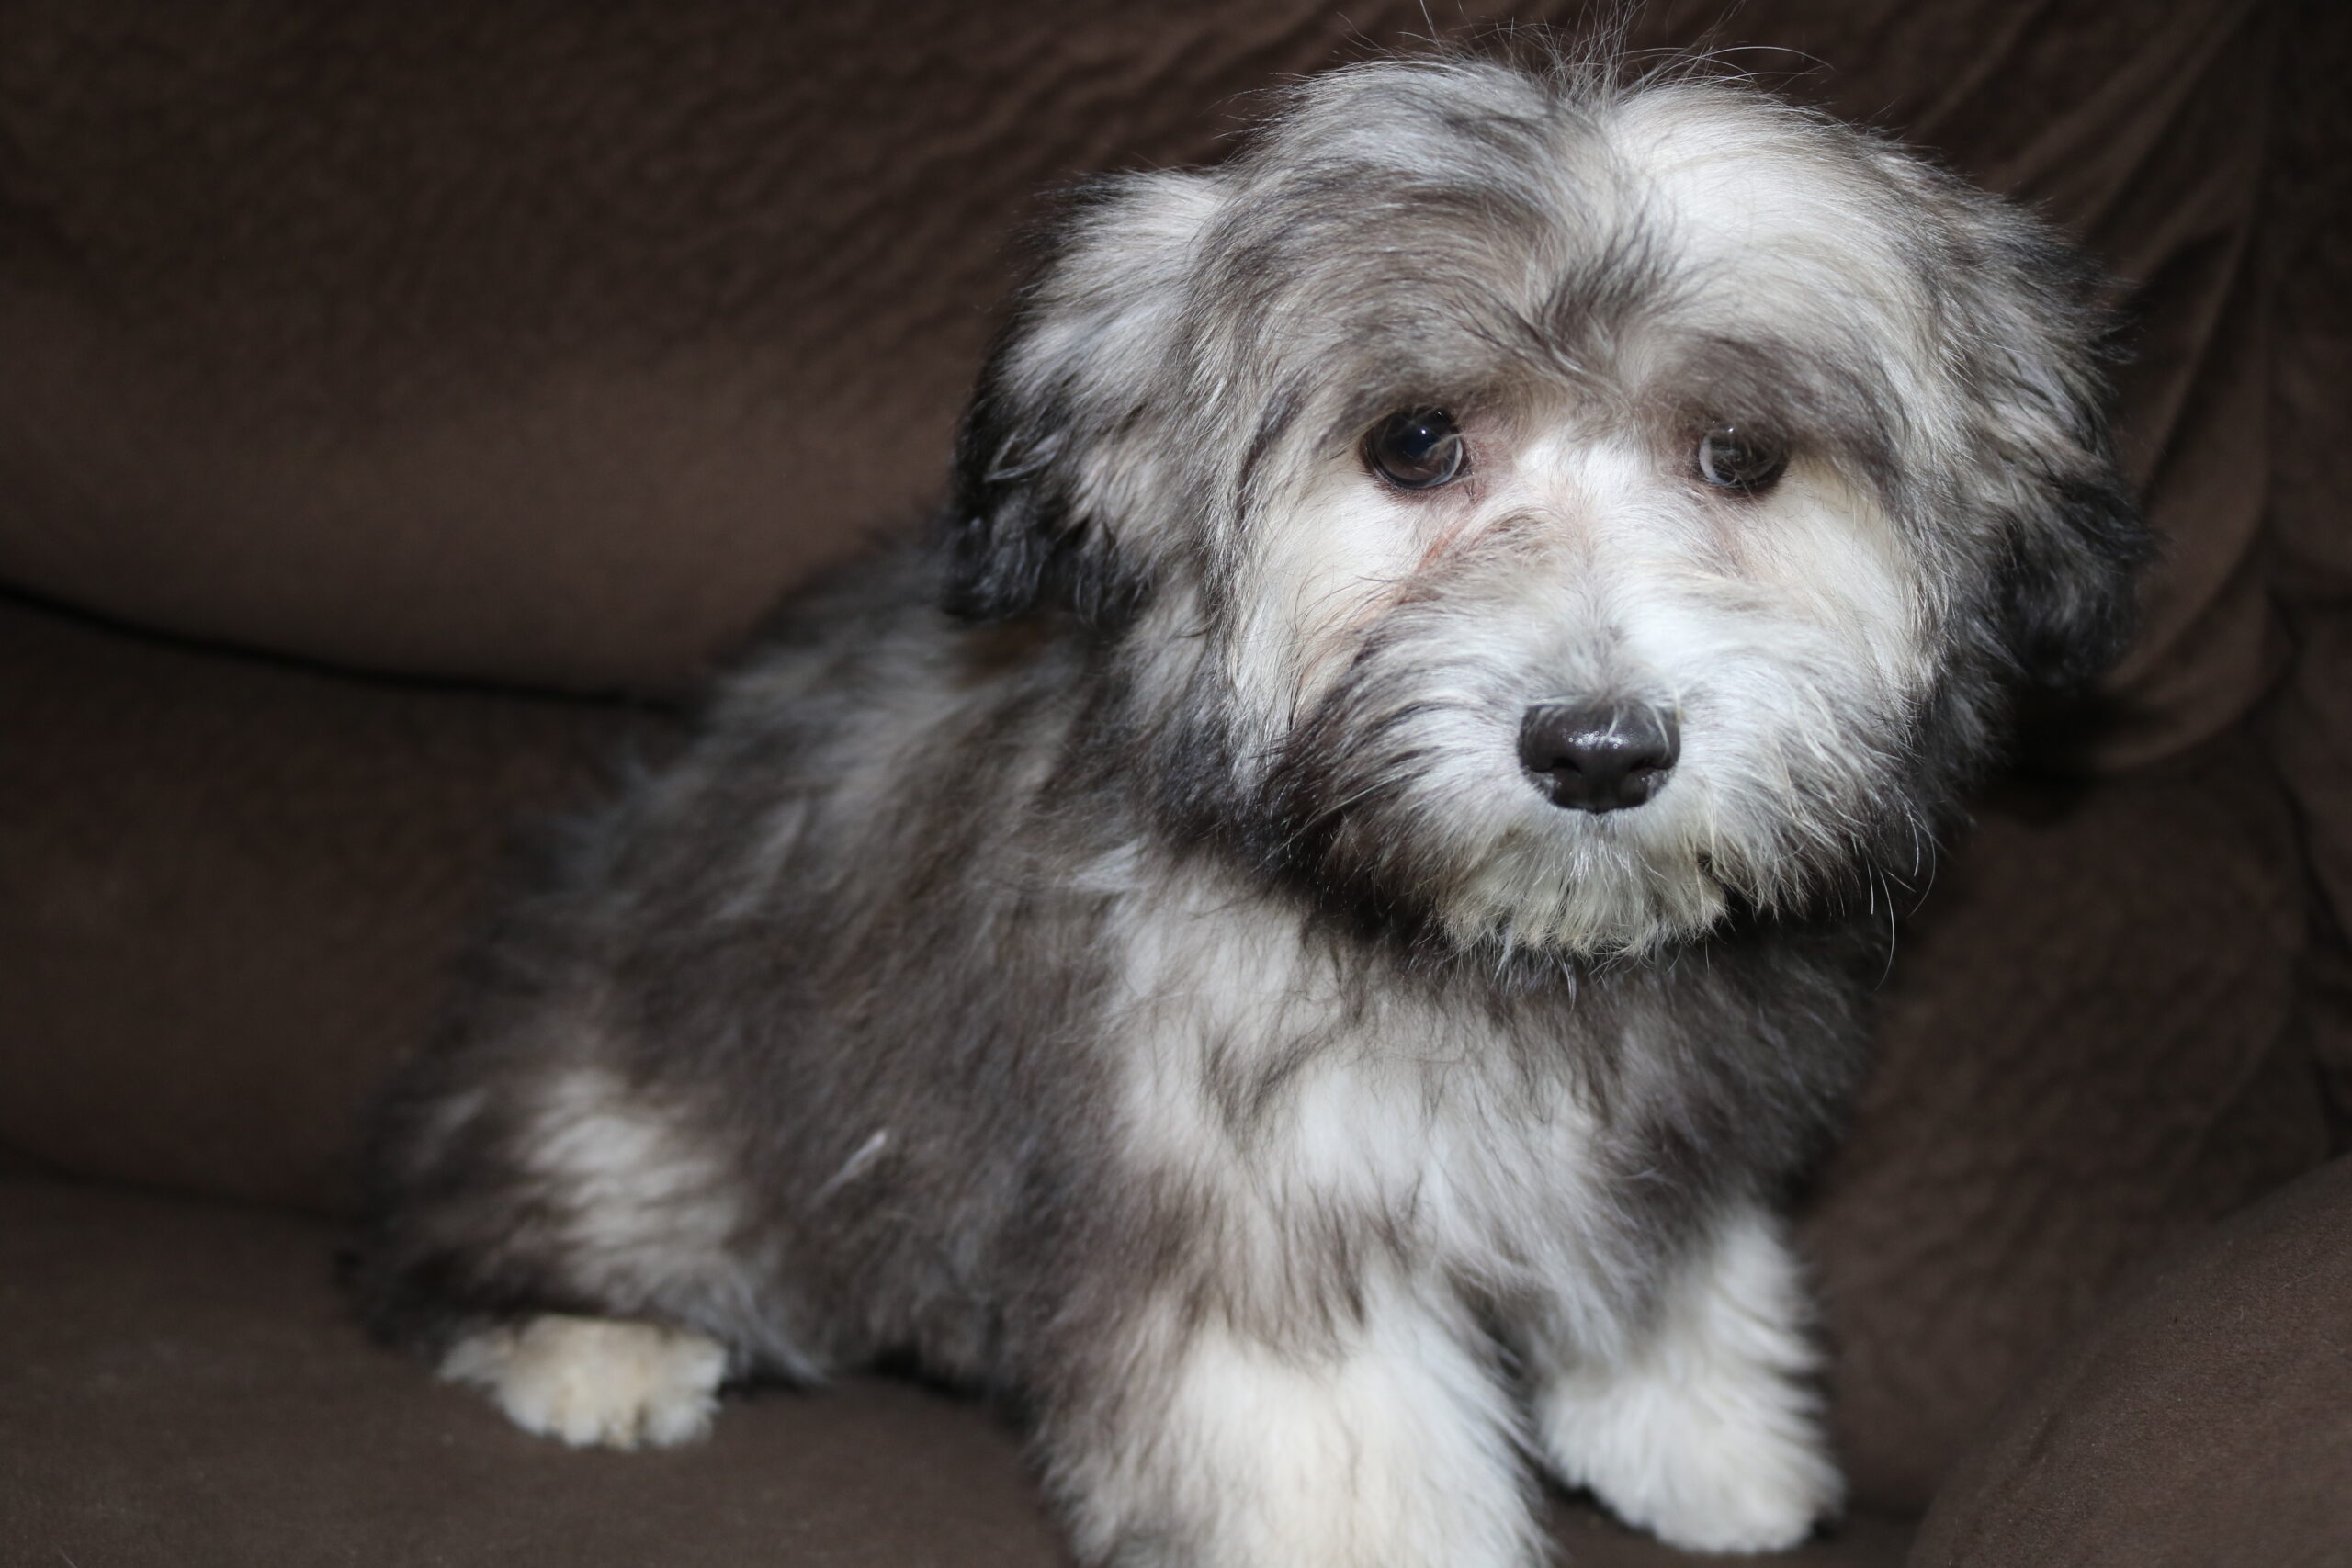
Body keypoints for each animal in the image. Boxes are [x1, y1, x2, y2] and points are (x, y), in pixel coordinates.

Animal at [353, 55, 2154, 1561]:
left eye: (1742, 456)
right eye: (1414, 442)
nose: (1597, 747)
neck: (1475, 945)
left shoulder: (1661, 1139)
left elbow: (1676, 1271)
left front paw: (1711, 1439)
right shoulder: (1251, 1219)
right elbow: (1345, 1451)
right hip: (636, 1124)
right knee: (460, 1237)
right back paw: (596, 1343)